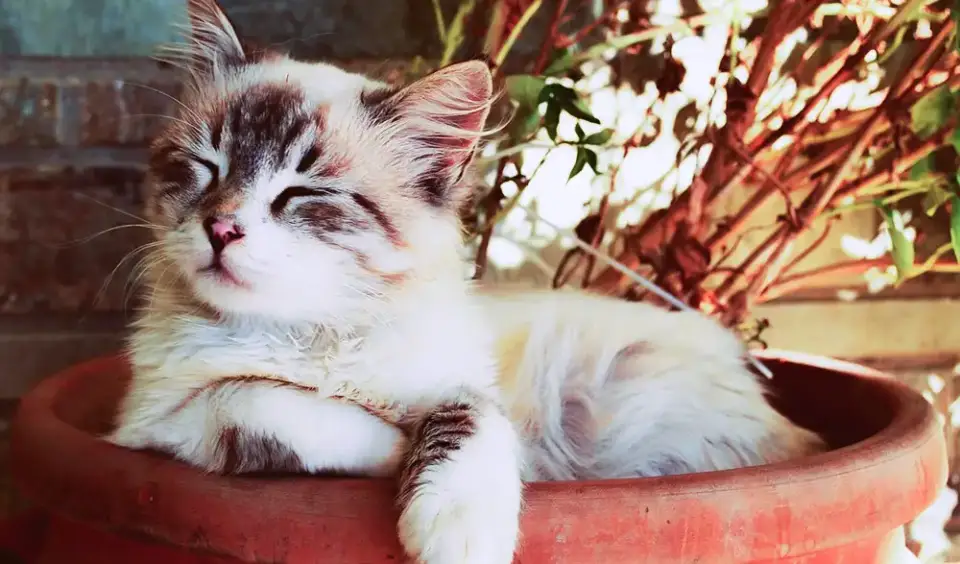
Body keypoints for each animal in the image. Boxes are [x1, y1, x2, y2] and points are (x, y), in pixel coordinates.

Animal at [105, 1, 824, 564]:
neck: (308, 334)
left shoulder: (465, 385)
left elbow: (468, 423)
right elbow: (257, 401)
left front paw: (456, 532)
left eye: (302, 193)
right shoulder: (156, 422)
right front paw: (392, 449)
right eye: (206, 166)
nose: (221, 228)